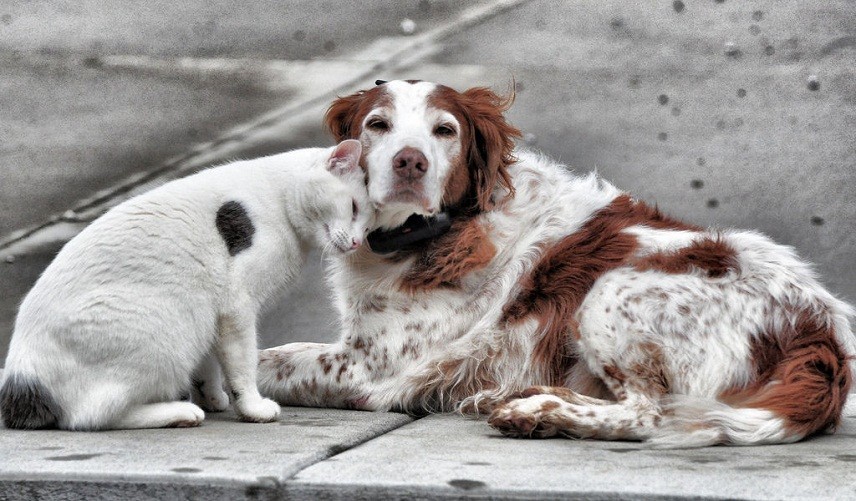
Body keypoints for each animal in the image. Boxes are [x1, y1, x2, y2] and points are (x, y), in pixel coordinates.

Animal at [0, 140, 370, 430]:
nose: (356, 243)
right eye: (353, 208)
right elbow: (243, 363)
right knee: (90, 416)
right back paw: (180, 412)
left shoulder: (212, 313)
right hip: (163, 329)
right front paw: (252, 408)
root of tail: (21, 378)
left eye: (367, 225)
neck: (278, 197)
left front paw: (213, 396)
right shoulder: (237, 306)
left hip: (190, 320)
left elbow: (209, 363)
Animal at [258, 80, 852, 448]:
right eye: (377, 125)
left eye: (445, 130)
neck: (435, 233)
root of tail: (821, 332)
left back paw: (535, 415)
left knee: (649, 412)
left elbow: (272, 362)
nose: (410, 162)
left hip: (608, 294)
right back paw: (523, 397)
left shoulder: (375, 368)